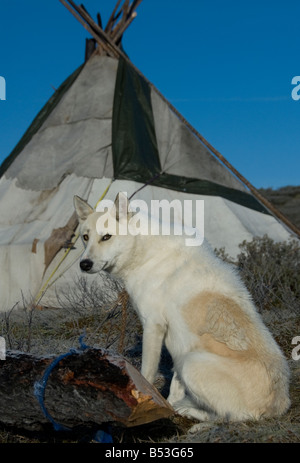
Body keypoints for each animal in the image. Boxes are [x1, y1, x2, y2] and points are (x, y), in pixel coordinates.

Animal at [74, 194, 290, 422]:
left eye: (106, 237)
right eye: (85, 237)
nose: (84, 264)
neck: (145, 253)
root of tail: (278, 406)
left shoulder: (153, 326)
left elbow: (147, 375)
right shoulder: (177, 343)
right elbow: (174, 388)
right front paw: (167, 407)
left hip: (191, 363)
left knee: (224, 416)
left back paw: (186, 411)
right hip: (186, 359)